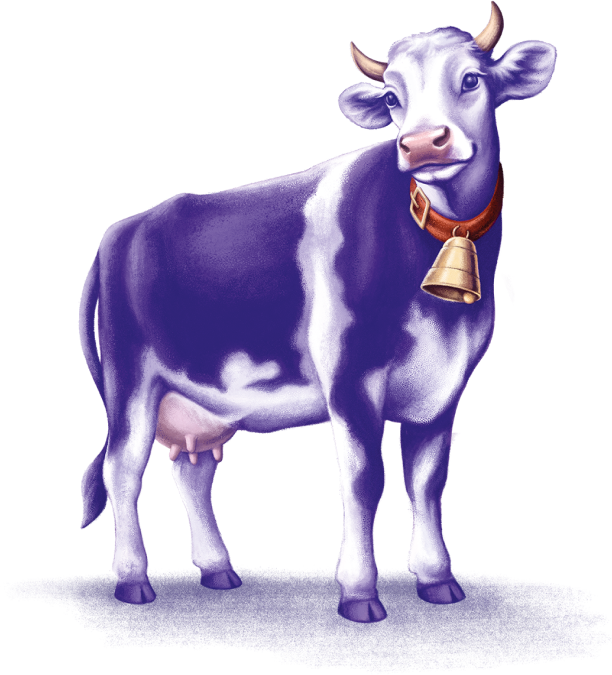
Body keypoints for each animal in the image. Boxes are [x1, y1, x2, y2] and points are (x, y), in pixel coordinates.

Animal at [78, 1, 556, 623]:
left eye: (472, 79)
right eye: (393, 98)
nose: (423, 145)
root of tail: (121, 231)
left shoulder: (444, 385)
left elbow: (428, 481)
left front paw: (436, 580)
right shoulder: (350, 376)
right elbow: (364, 479)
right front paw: (359, 592)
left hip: (203, 398)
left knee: (192, 473)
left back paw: (217, 571)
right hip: (131, 378)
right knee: (123, 470)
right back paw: (134, 580)